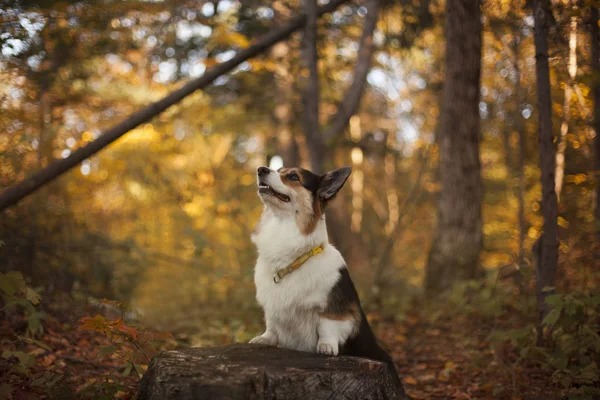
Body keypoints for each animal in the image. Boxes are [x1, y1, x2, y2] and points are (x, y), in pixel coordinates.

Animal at [251, 165, 400, 384]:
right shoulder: (272, 309)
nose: (261, 169)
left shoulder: (338, 311)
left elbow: (327, 326)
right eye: (278, 170)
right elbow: (272, 326)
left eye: (294, 176)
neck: (293, 258)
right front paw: (264, 338)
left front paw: (326, 347)